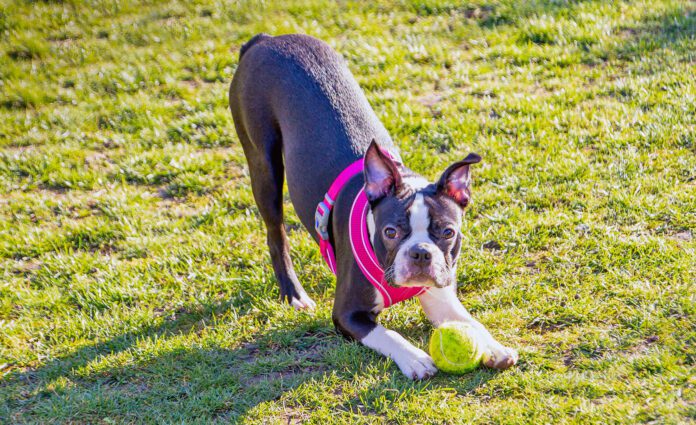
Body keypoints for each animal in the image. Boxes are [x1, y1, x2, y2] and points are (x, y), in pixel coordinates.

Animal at [228, 33, 516, 378]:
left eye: (447, 232)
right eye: (390, 232)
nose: (421, 253)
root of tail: (267, 39)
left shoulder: (440, 295)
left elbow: (470, 322)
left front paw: (493, 346)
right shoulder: (347, 314)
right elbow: (386, 333)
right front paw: (415, 358)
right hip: (264, 164)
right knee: (275, 232)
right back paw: (294, 294)